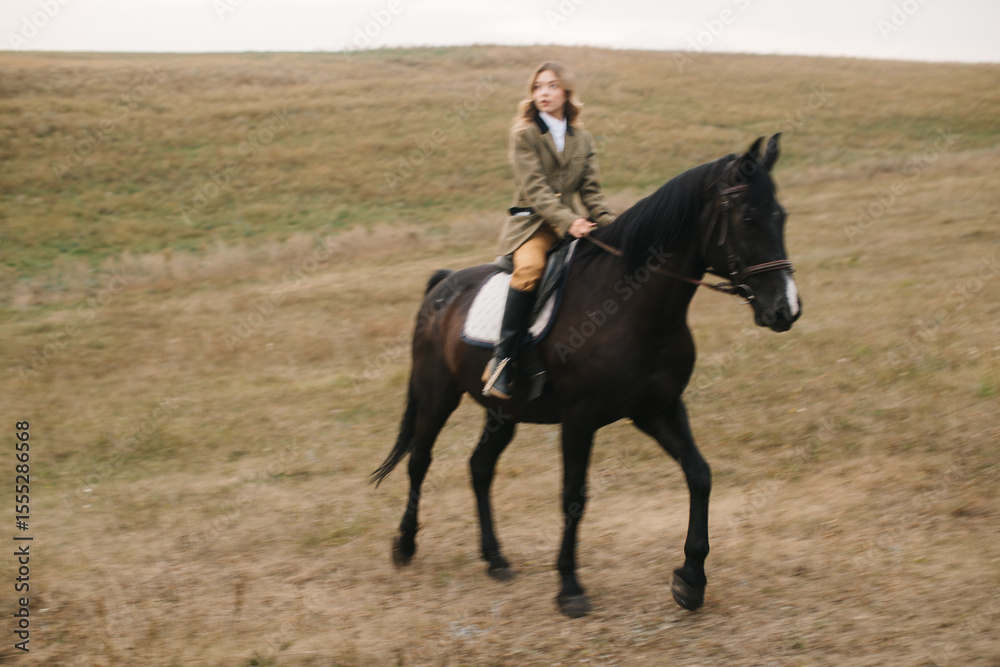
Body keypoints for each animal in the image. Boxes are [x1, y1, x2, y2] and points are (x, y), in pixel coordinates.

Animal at [371, 134, 801, 617]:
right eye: (748, 218)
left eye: (781, 215)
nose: (785, 309)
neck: (632, 306)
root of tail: (443, 285)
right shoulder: (580, 418)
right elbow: (574, 494)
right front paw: (570, 587)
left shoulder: (659, 408)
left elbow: (699, 474)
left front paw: (690, 580)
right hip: (437, 395)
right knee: (419, 461)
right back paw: (405, 546)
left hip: (504, 411)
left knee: (480, 466)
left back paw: (495, 559)